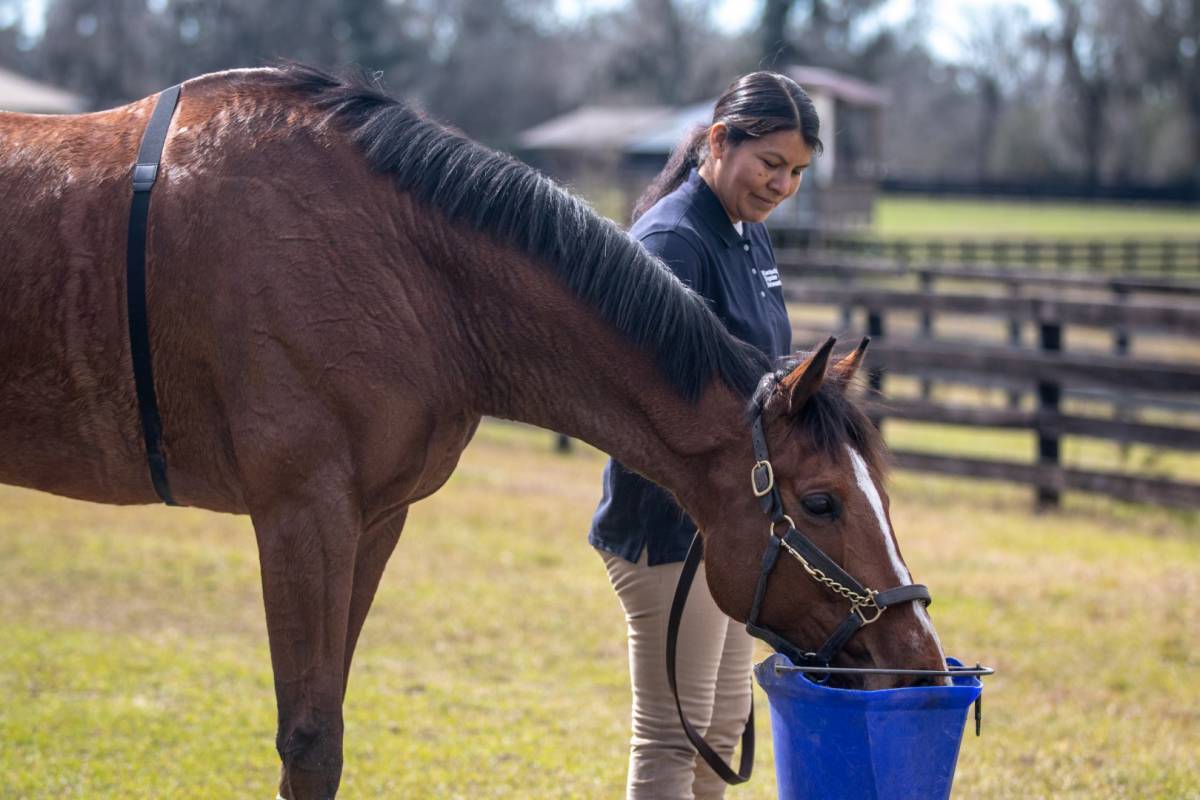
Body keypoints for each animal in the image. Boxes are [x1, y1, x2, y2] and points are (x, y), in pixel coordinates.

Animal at [0, 65, 945, 796]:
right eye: (820, 503)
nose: (920, 660)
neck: (399, 265)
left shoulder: (372, 520)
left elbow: (326, 724)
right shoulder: (301, 515)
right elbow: (308, 741)